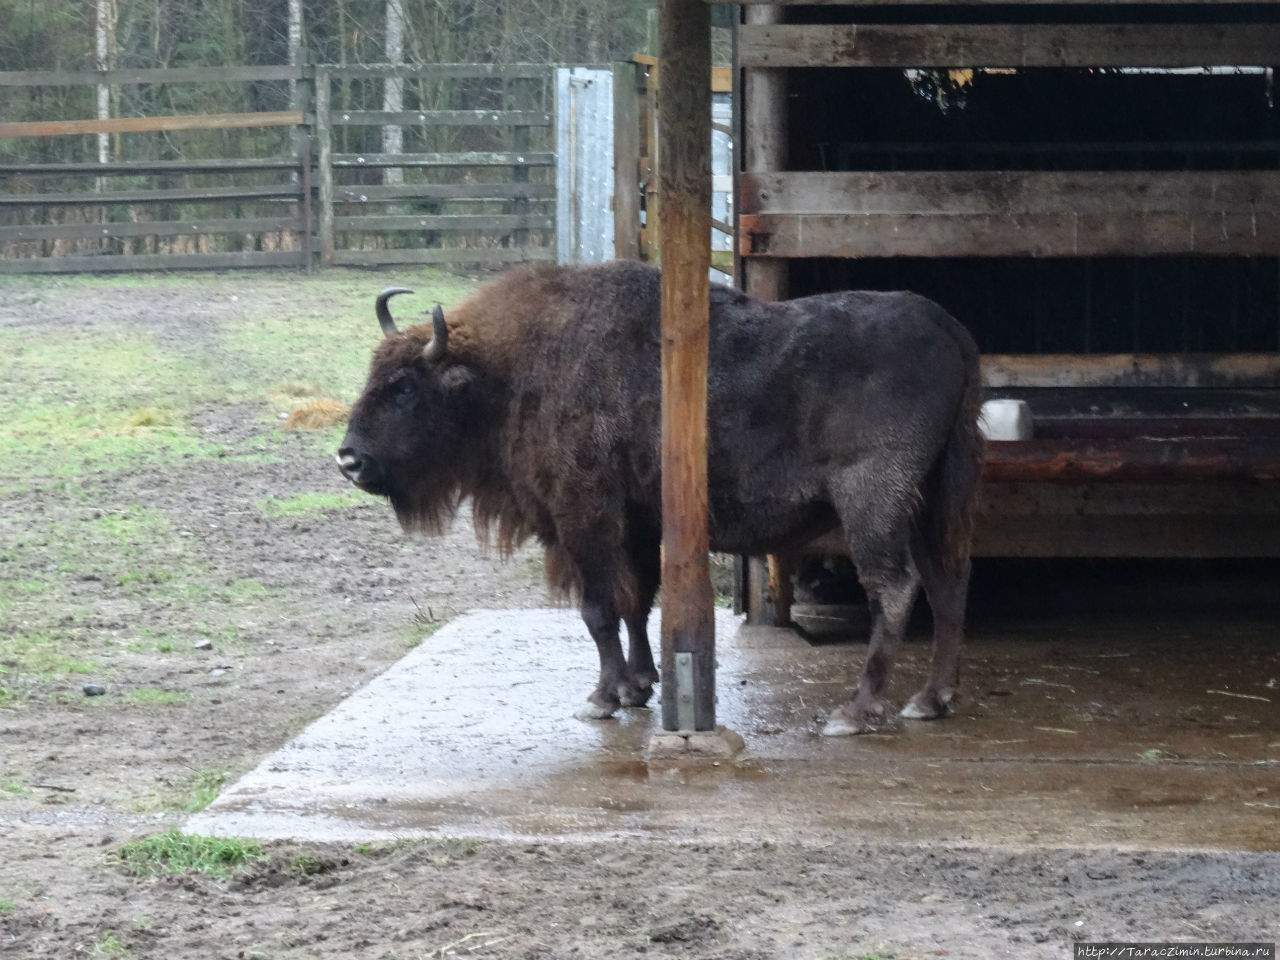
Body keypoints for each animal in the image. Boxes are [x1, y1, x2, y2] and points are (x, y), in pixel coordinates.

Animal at [337, 259, 977, 732]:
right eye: (372, 375)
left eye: (404, 388)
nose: (349, 460)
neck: (508, 372)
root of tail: (949, 328)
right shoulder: (639, 523)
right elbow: (637, 601)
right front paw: (642, 685)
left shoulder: (584, 520)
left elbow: (599, 609)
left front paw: (603, 698)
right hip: (930, 500)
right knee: (946, 584)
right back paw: (930, 700)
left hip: (873, 503)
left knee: (895, 589)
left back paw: (854, 711)